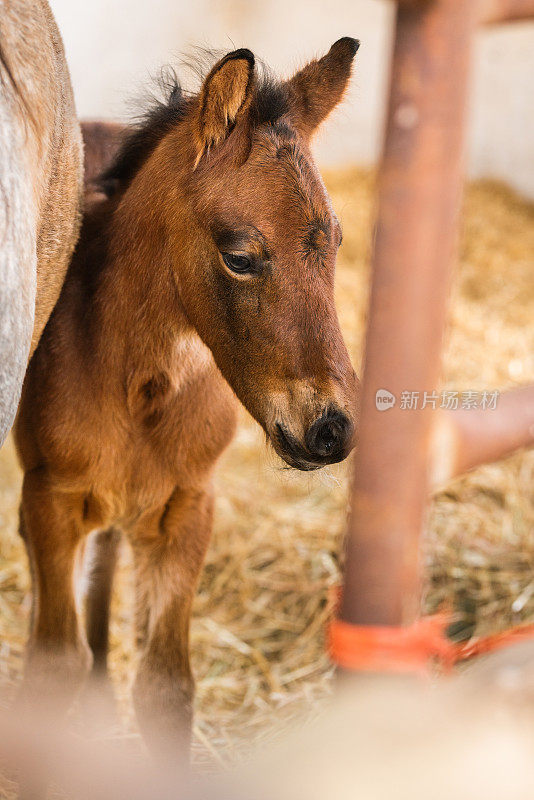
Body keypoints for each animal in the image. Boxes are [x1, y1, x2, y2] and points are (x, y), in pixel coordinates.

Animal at [13, 40, 360, 764]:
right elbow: (50, 671)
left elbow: (166, 687)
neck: (142, 385)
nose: (331, 430)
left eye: (336, 241)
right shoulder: (51, 497)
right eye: (239, 255)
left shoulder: (187, 507)